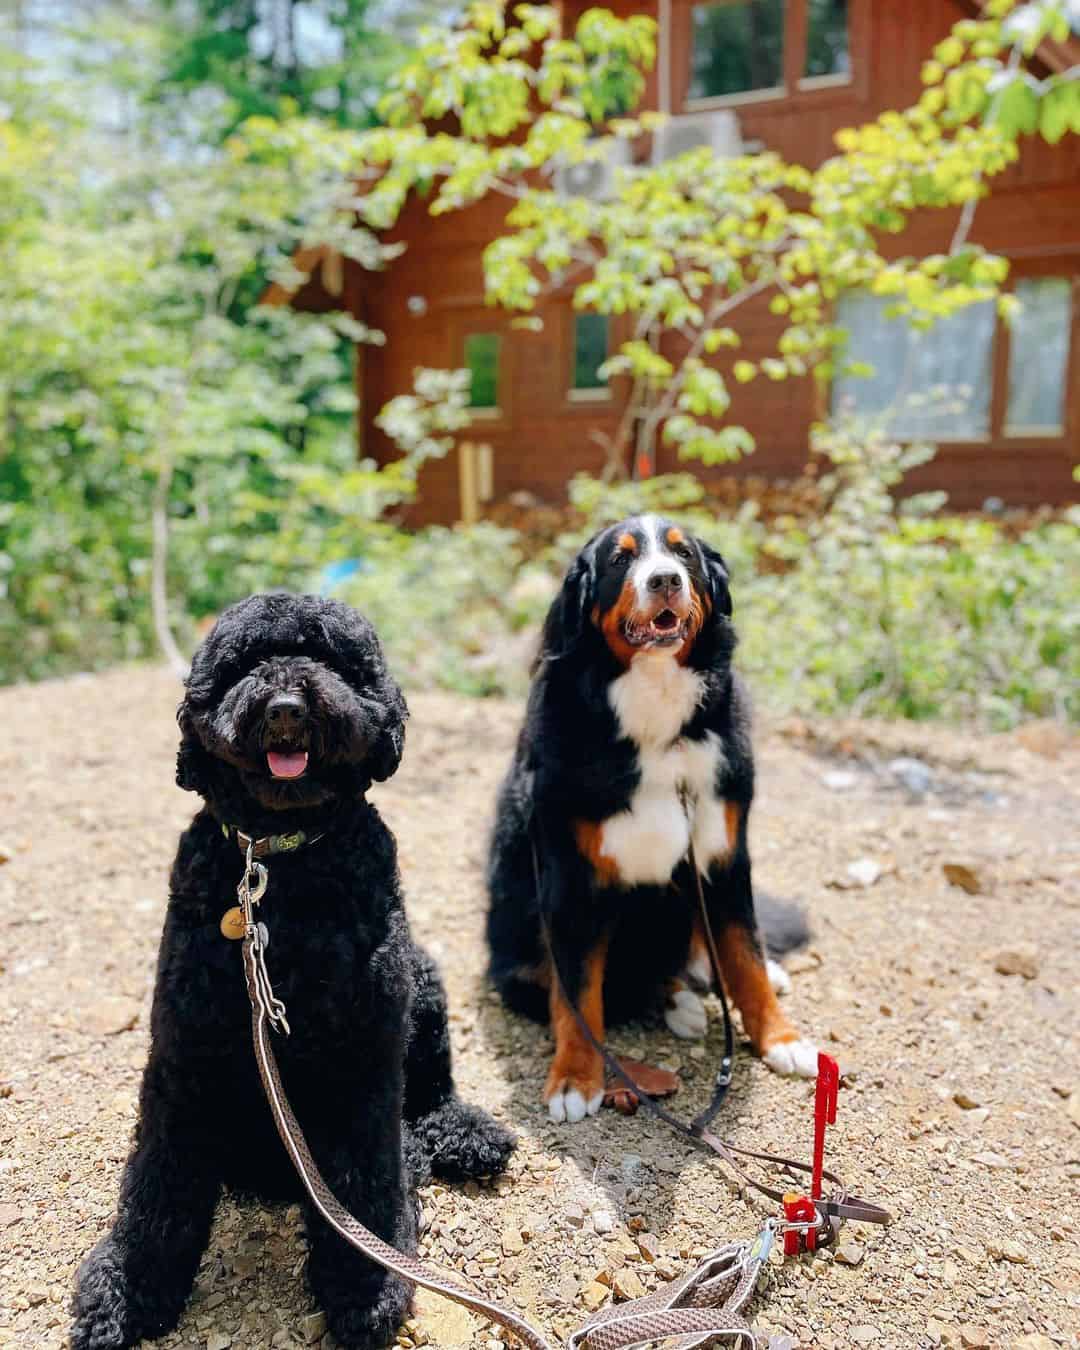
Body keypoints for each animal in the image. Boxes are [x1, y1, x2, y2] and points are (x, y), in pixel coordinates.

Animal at [72, 596, 515, 1350]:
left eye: (332, 659)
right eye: (244, 663)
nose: (285, 708)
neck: (282, 863)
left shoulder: (363, 1055)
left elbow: (364, 1179)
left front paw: (368, 1284)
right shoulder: (184, 1052)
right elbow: (158, 1182)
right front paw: (127, 1290)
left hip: (423, 982)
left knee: (428, 1094)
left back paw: (455, 1135)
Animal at [486, 510, 815, 1123]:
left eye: (683, 555)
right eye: (621, 559)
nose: (664, 580)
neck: (657, 719)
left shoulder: (724, 853)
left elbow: (745, 953)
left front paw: (781, 1039)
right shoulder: (570, 876)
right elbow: (578, 993)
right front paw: (575, 1078)